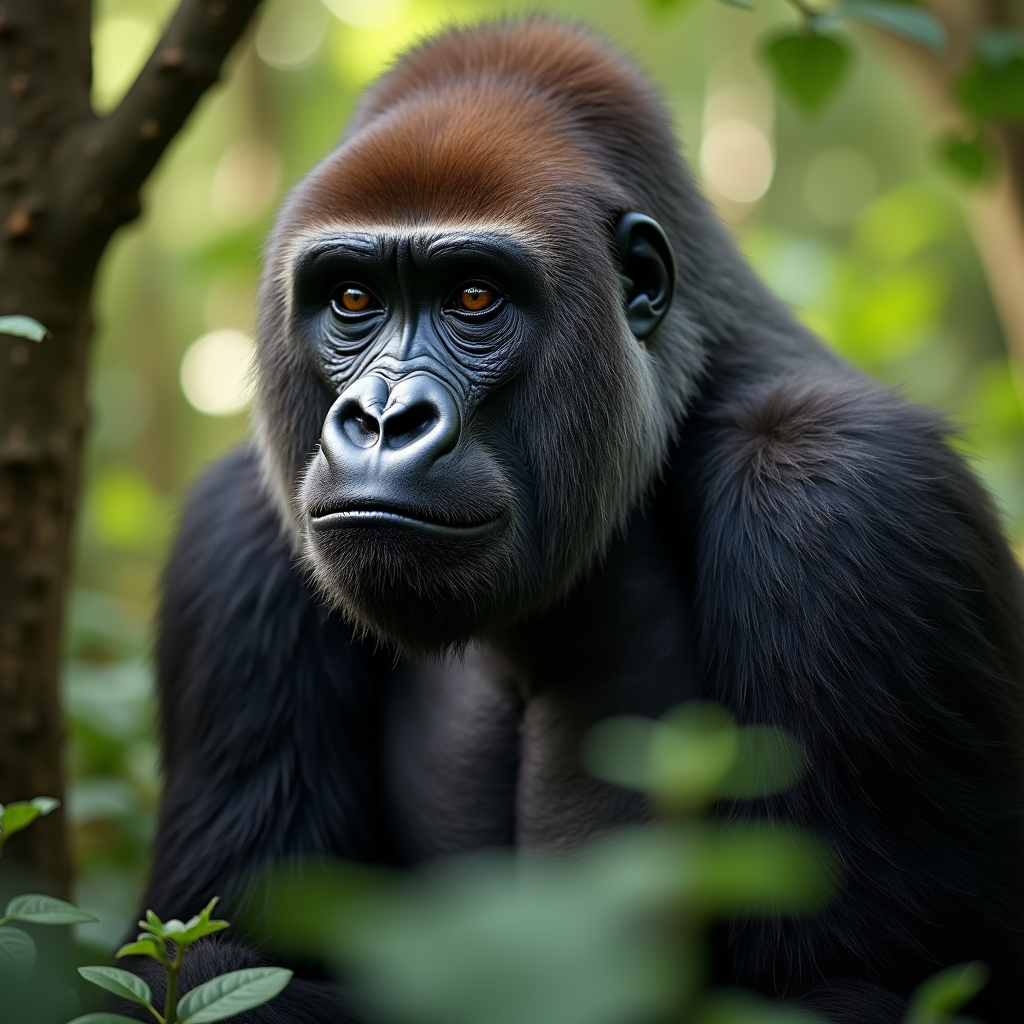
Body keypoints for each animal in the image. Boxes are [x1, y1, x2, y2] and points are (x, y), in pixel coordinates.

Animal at [127, 19, 1024, 1024]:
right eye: (353, 299)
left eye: (474, 297)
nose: (385, 418)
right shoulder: (240, 530)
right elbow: (200, 959)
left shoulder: (847, 496)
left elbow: (854, 984)